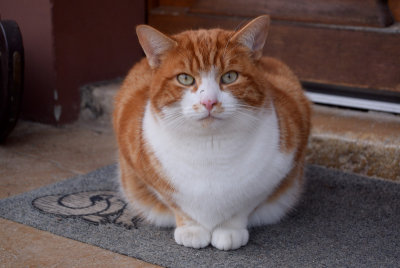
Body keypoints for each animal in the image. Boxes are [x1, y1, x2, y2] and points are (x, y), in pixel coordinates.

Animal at [112, 14, 310, 249]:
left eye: (230, 77)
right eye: (185, 78)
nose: (209, 102)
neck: (211, 146)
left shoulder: (278, 167)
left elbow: (244, 205)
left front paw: (230, 229)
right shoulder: (142, 165)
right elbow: (176, 203)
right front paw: (191, 229)